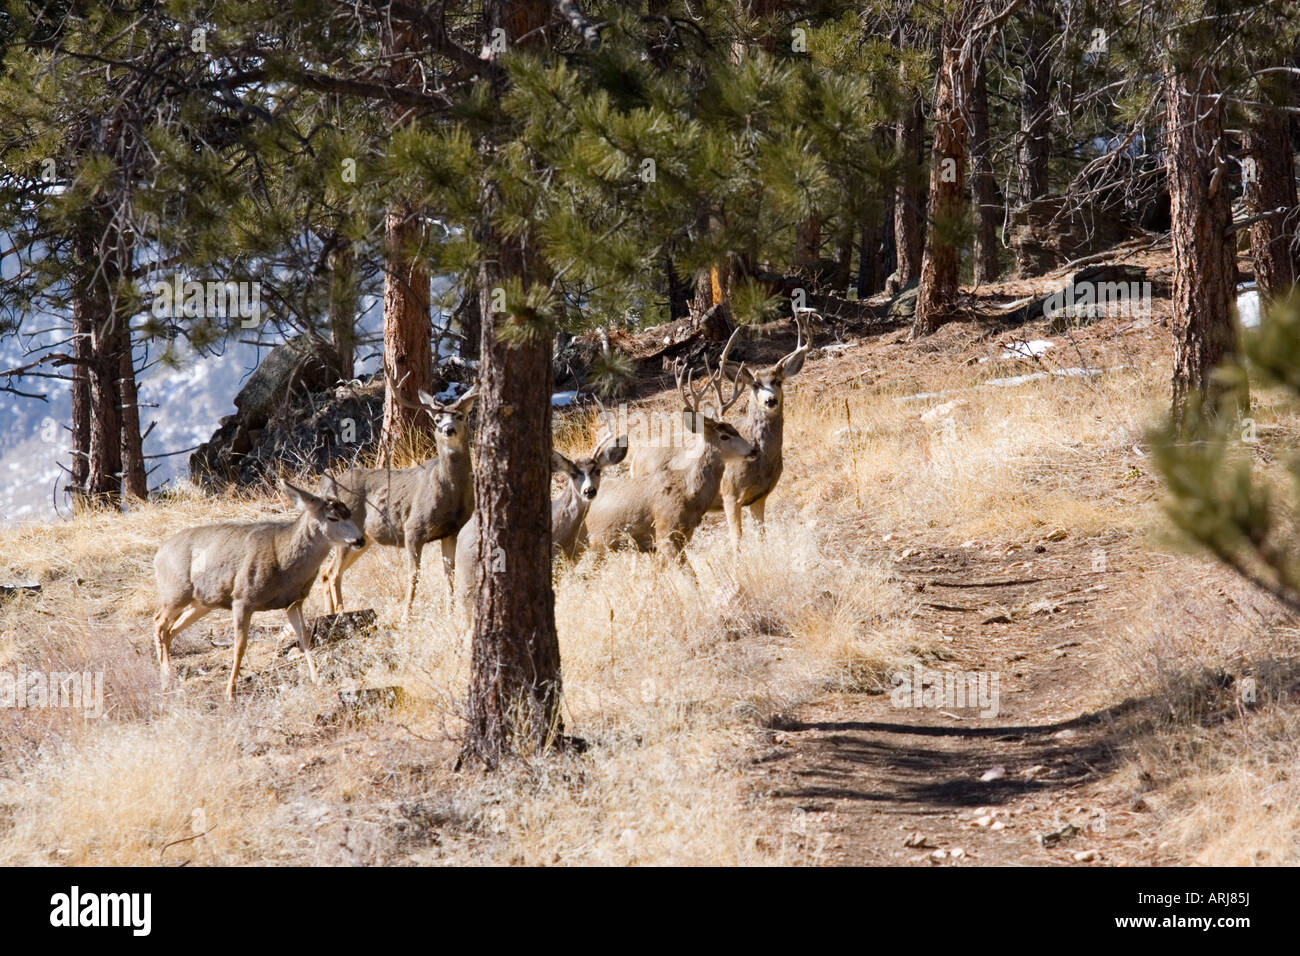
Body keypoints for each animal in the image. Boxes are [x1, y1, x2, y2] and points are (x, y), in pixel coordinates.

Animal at [152, 478, 366, 700]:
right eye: (332, 517)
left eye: (349, 512)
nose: (360, 540)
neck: (283, 562)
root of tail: (158, 553)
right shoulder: (242, 598)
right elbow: (239, 646)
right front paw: (230, 692)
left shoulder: (294, 602)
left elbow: (305, 639)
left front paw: (317, 679)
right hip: (175, 594)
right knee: (158, 622)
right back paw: (167, 681)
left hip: (201, 603)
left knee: (171, 629)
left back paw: (169, 678)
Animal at [320, 381, 477, 622]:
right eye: (437, 419)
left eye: (460, 416)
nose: (448, 429)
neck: (451, 494)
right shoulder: (413, 528)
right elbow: (414, 574)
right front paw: (406, 615)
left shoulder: (451, 531)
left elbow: (449, 573)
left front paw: (450, 611)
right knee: (335, 572)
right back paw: (341, 613)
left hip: (364, 538)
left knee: (327, 571)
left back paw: (330, 613)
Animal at [584, 331, 758, 559]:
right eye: (724, 436)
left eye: (734, 428)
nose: (753, 449)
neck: (688, 490)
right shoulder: (665, 531)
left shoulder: (682, 535)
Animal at [631, 315, 810, 549]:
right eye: (754, 385)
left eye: (777, 381)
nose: (770, 400)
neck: (762, 462)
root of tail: (634, 460)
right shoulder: (730, 494)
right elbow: (737, 540)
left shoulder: (760, 497)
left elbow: (762, 537)